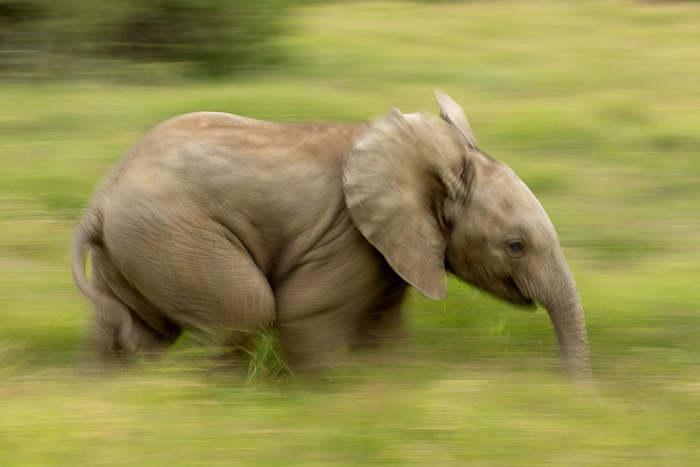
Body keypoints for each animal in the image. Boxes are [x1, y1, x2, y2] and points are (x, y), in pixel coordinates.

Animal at [71, 90, 588, 376]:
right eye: (515, 246)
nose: (575, 398)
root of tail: (100, 198)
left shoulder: (390, 249)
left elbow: (382, 329)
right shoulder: (350, 237)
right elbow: (305, 314)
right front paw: (327, 401)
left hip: (136, 248)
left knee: (133, 330)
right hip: (172, 235)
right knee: (246, 311)